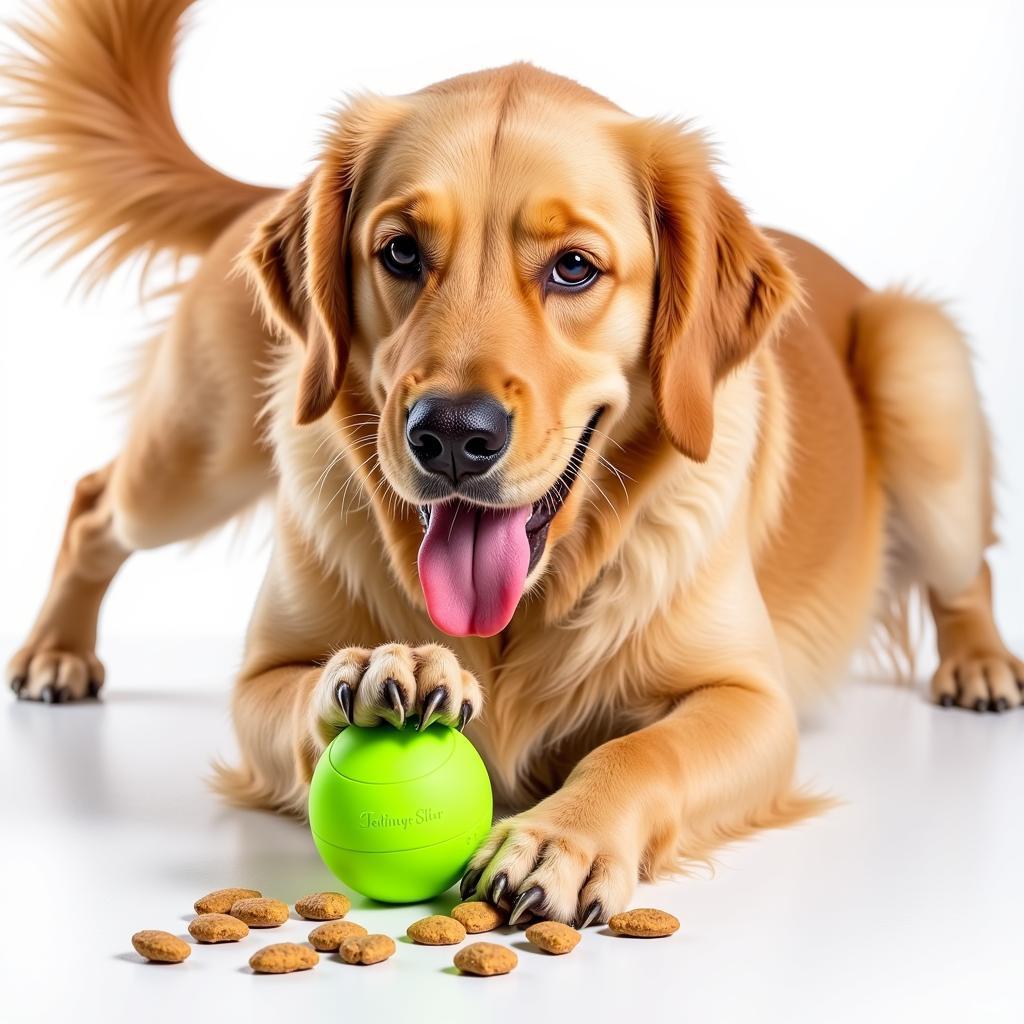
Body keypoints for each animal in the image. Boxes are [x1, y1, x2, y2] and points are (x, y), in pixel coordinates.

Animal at [4, 2, 1019, 929]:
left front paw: (557, 838)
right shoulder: (261, 676)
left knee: (964, 575)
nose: (453, 434)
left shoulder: (751, 701)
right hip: (196, 454)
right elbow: (301, 692)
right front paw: (376, 670)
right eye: (400, 251)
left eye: (574, 268)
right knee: (94, 503)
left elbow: (641, 750)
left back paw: (980, 668)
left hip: (920, 368)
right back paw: (57, 652)